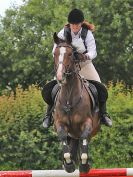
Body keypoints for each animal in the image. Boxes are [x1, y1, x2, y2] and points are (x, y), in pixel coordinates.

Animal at [52, 31, 100, 173]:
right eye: (55, 54)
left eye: (70, 54)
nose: (60, 76)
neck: (69, 96)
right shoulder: (59, 122)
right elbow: (63, 137)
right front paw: (68, 164)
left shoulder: (88, 122)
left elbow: (84, 137)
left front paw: (84, 165)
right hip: (72, 134)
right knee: (72, 141)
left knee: (83, 139)